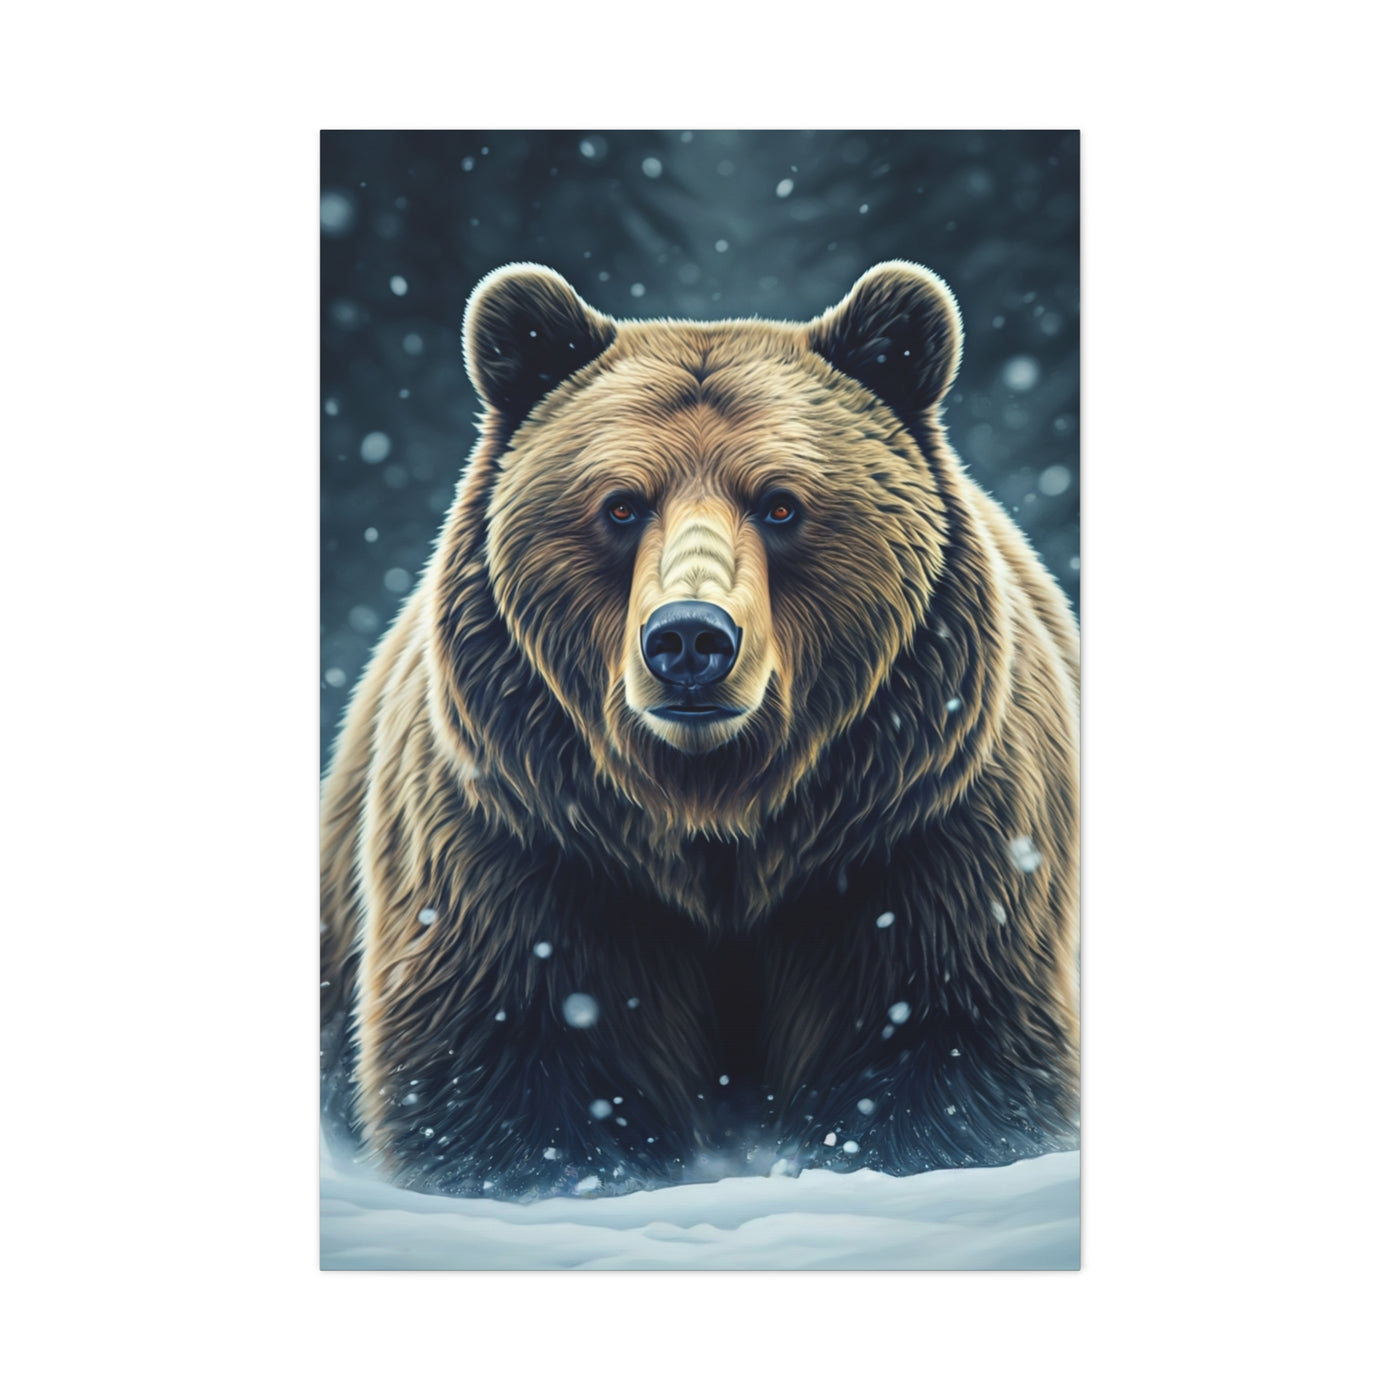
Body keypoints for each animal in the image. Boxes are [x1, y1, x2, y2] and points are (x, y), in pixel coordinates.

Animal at [321, 260, 1080, 1197]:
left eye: (781, 505)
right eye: (620, 505)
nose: (689, 638)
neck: (716, 818)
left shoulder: (921, 833)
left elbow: (944, 1043)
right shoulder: (527, 841)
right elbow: (509, 1059)